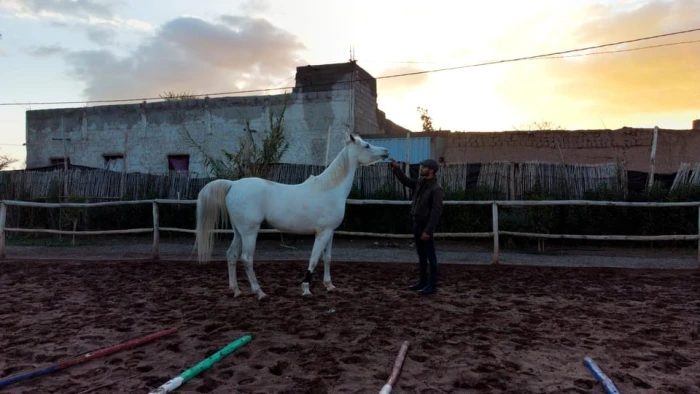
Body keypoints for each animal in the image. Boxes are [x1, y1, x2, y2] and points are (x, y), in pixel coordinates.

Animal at [194, 134, 392, 300]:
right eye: (366, 146)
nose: (386, 152)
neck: (329, 189)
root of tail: (233, 184)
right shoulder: (322, 233)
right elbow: (314, 259)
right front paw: (306, 289)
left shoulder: (330, 232)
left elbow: (327, 258)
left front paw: (329, 286)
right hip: (250, 232)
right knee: (246, 258)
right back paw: (260, 293)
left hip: (239, 232)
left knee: (231, 256)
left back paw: (236, 290)